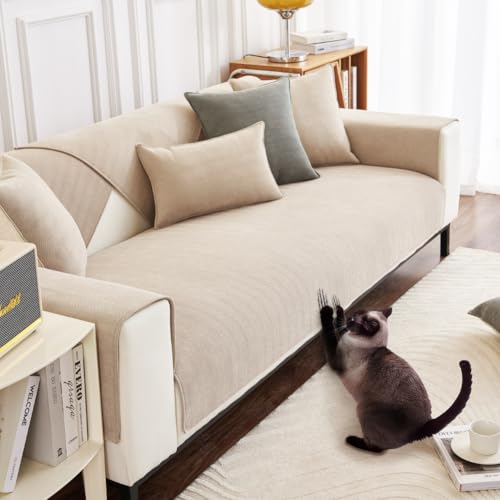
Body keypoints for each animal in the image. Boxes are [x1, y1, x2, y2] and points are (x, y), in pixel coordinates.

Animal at [318, 290, 472, 453]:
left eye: (357, 321)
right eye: (356, 314)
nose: (350, 319)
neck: (372, 345)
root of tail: (421, 427)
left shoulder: (335, 360)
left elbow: (329, 332)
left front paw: (326, 309)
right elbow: (338, 325)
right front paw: (338, 308)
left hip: (361, 409)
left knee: (378, 449)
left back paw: (351, 440)